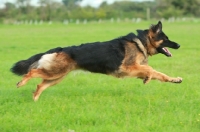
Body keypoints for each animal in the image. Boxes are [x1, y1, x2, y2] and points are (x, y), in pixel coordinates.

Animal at [10, 20, 183, 101]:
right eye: (166, 39)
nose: (179, 45)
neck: (141, 42)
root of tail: (59, 49)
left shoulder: (134, 69)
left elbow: (160, 74)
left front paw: (175, 79)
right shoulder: (126, 68)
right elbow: (151, 70)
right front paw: (147, 78)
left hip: (57, 76)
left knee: (40, 85)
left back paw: (35, 100)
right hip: (55, 72)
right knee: (32, 72)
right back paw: (21, 83)